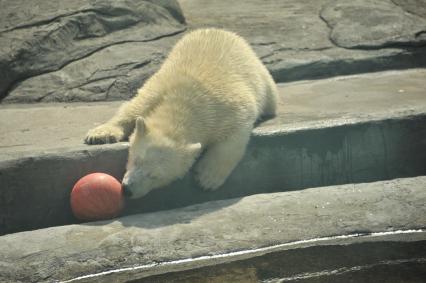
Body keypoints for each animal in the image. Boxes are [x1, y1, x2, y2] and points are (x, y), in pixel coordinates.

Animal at [85, 27, 280, 199]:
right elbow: (133, 107)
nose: (127, 190)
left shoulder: (232, 109)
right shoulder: (158, 88)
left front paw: (207, 178)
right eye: (136, 159)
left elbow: (235, 137)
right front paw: (100, 135)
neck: (185, 103)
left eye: (155, 176)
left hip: (263, 79)